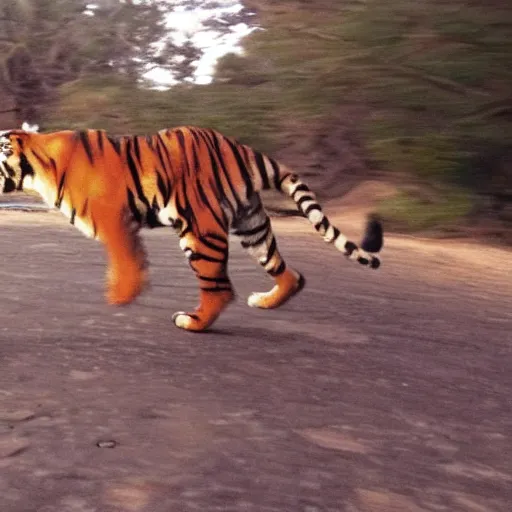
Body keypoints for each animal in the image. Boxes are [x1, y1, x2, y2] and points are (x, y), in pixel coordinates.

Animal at [0, 124, 384, 332]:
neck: (36, 166)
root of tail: (240, 148)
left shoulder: (115, 220)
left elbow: (125, 259)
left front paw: (120, 296)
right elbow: (134, 259)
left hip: (199, 230)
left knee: (220, 289)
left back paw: (193, 322)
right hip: (251, 224)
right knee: (289, 273)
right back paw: (265, 301)